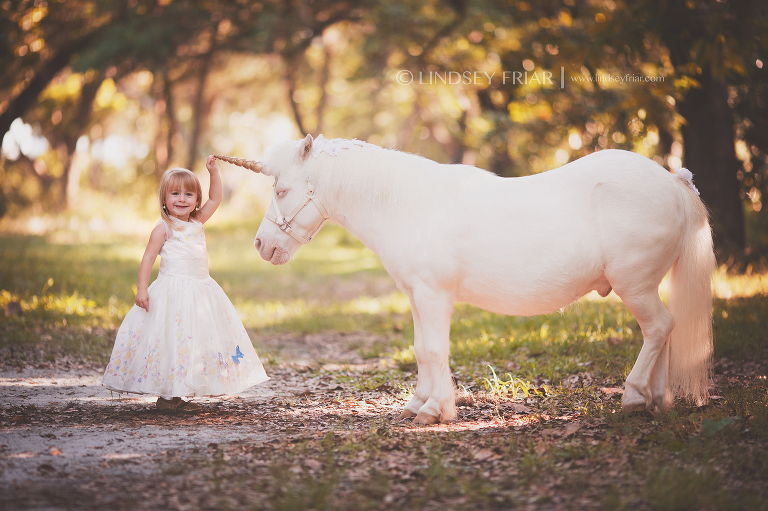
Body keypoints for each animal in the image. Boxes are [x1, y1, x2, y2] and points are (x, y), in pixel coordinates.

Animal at [214, 135, 712, 424]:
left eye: (281, 190)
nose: (262, 246)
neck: (406, 203)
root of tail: (674, 182)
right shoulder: (417, 295)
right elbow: (420, 349)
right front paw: (419, 403)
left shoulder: (434, 295)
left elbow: (435, 349)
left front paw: (437, 410)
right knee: (662, 332)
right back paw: (657, 399)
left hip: (636, 286)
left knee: (659, 328)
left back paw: (633, 396)